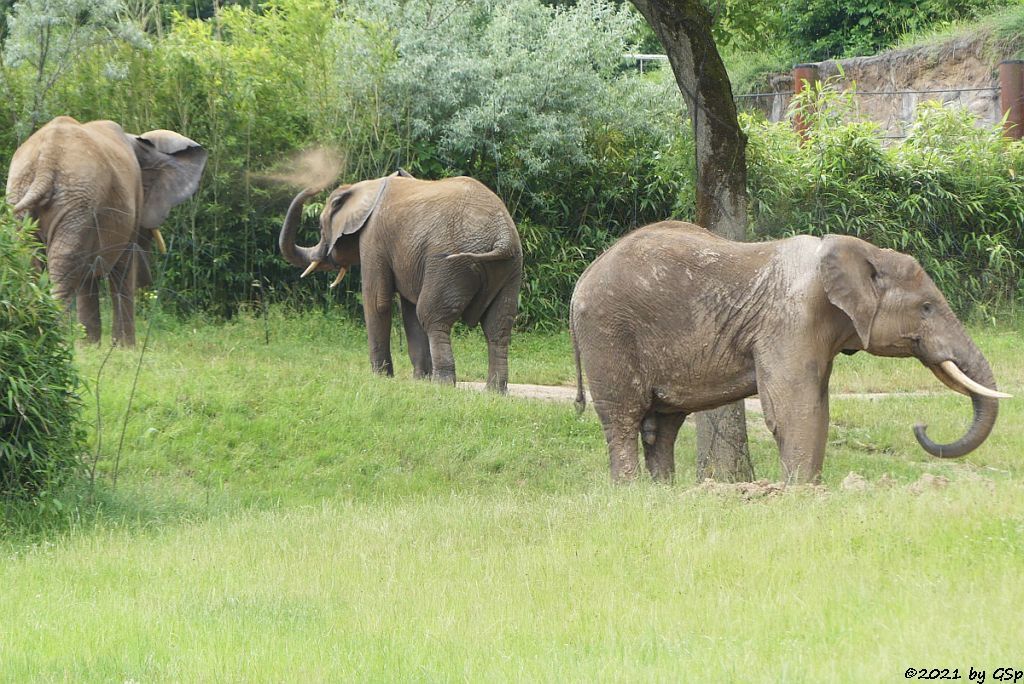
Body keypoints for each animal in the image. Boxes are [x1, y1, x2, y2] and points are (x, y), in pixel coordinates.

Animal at [5, 115, 209, 348]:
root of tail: (47, 160)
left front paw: (90, 345)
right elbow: (123, 267)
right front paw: (125, 348)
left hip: (31, 194)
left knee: (32, 260)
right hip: (79, 200)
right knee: (65, 261)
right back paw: (58, 340)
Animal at [278, 169, 520, 393]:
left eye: (320, 228)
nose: (314, 187)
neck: (366, 187)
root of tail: (502, 236)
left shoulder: (373, 237)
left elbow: (377, 302)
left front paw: (381, 378)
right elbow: (409, 311)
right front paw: (419, 381)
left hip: (451, 265)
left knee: (433, 317)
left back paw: (442, 385)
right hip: (508, 268)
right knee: (498, 326)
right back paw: (494, 391)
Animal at [573, 222, 1011, 483]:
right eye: (927, 308)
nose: (921, 425)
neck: (858, 252)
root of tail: (582, 279)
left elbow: (817, 406)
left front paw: (809, 491)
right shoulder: (789, 321)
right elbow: (794, 408)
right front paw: (798, 493)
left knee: (663, 426)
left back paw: (664, 493)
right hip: (608, 334)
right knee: (624, 418)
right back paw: (632, 492)